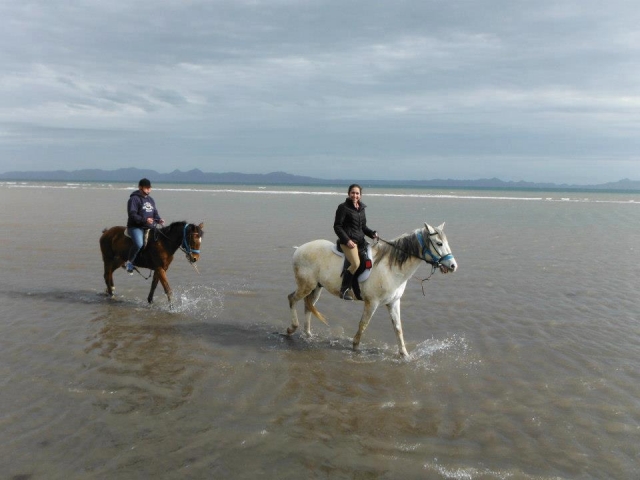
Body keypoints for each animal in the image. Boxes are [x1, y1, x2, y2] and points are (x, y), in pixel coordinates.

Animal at [287, 222, 457, 358]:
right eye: (439, 243)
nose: (453, 266)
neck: (391, 268)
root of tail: (299, 249)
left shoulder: (394, 302)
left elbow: (398, 328)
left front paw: (405, 355)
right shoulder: (372, 303)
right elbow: (363, 325)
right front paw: (355, 348)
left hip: (316, 288)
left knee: (308, 306)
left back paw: (308, 334)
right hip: (306, 286)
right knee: (292, 299)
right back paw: (292, 328)